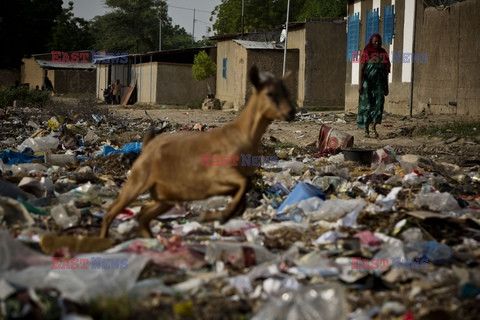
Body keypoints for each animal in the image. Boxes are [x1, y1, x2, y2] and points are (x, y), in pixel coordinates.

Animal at [100, 65, 296, 238]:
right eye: (270, 93)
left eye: (287, 92)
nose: (291, 113)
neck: (242, 135)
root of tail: (148, 145)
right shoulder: (220, 173)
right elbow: (244, 184)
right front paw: (218, 216)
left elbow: (242, 197)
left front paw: (218, 215)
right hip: (138, 180)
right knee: (112, 210)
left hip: (165, 196)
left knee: (143, 215)